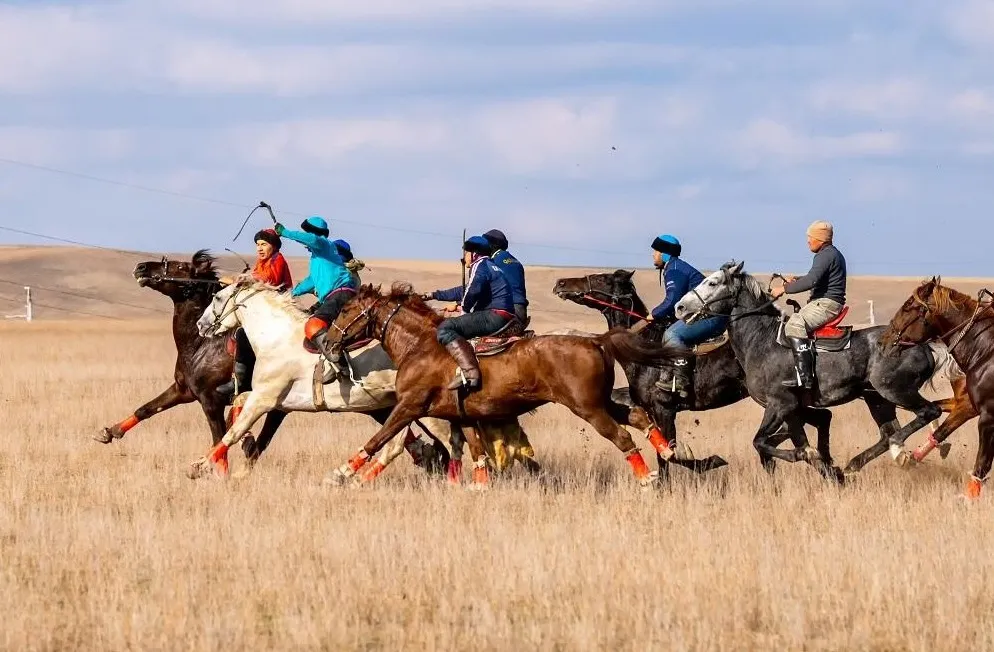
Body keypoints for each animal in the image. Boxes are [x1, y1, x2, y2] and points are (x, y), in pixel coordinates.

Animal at [314, 280, 684, 488]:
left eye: (346, 309)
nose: (327, 341)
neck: (420, 345)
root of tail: (595, 340)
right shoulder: (463, 416)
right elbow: (475, 450)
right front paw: (478, 486)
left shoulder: (408, 406)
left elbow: (377, 440)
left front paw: (340, 473)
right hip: (599, 402)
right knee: (636, 415)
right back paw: (665, 449)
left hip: (587, 408)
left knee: (622, 436)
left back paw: (646, 478)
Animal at [556, 270, 840, 474]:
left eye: (602, 278)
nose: (561, 283)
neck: (647, 347)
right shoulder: (649, 408)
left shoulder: (664, 409)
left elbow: (668, 453)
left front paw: (709, 462)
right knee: (813, 421)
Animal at [676, 262, 952, 482]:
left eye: (712, 282)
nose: (680, 307)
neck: (761, 339)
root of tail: (924, 345)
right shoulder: (794, 409)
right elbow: (783, 440)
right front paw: (825, 465)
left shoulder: (780, 404)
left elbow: (762, 441)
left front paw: (809, 456)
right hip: (877, 399)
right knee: (888, 433)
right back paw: (855, 465)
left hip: (895, 390)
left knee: (927, 413)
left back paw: (900, 454)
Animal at [876, 278, 992, 496]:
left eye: (908, 306)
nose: (882, 342)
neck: (985, 350)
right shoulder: (966, 404)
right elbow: (937, 416)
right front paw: (909, 455)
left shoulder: (983, 414)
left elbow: (981, 465)